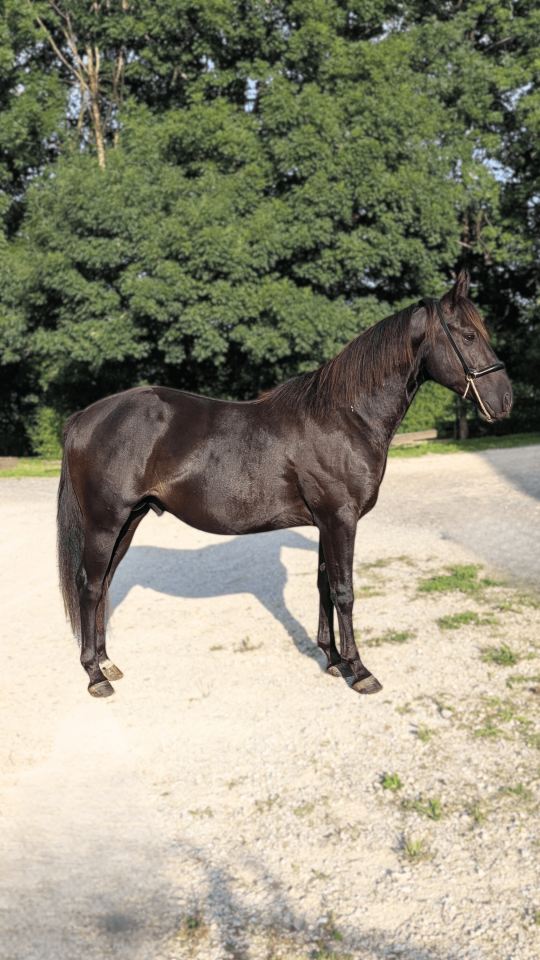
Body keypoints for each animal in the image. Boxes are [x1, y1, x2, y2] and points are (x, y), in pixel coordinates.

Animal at [57, 268, 512, 698]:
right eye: (468, 334)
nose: (505, 400)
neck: (344, 417)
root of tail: (84, 418)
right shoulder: (340, 519)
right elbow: (344, 592)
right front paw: (361, 671)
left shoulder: (327, 523)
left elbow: (325, 586)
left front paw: (334, 660)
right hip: (105, 524)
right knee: (90, 587)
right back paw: (95, 675)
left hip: (128, 521)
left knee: (103, 584)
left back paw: (107, 663)